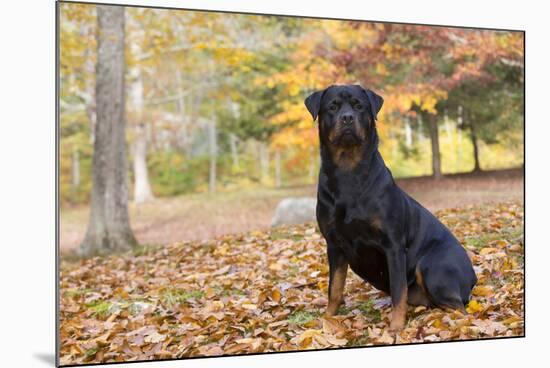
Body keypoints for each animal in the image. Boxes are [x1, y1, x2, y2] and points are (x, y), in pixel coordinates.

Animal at [306, 85, 478, 332]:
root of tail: (473, 276)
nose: (347, 118)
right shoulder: (334, 244)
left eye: (359, 106)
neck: (348, 172)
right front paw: (328, 320)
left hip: (433, 266)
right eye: (333, 106)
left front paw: (396, 326)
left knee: (459, 308)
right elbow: (335, 288)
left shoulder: (393, 245)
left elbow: (398, 290)